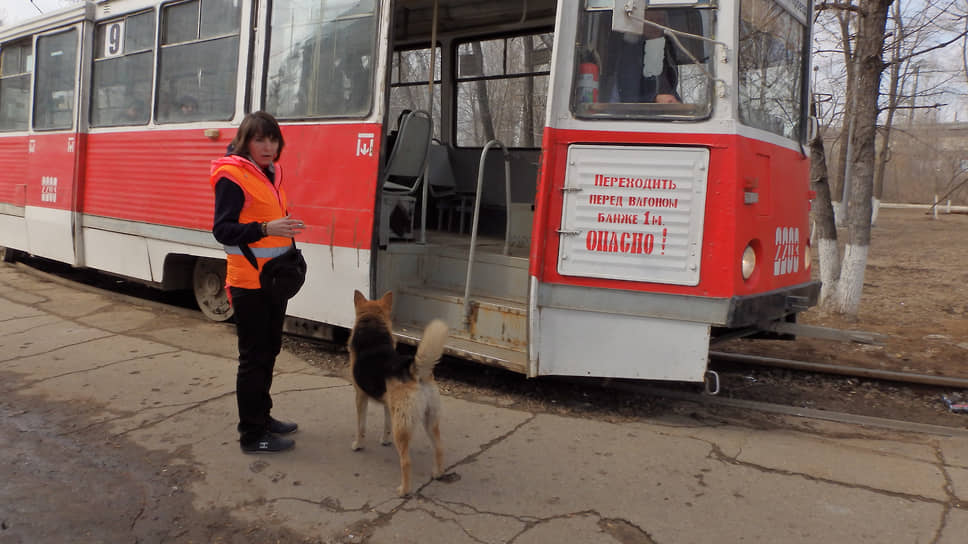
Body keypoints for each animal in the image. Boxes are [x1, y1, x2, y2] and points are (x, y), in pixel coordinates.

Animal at [350, 292, 448, 496]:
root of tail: (415, 371)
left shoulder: (360, 397)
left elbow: (361, 426)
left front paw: (358, 445)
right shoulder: (388, 406)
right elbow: (386, 425)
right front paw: (384, 441)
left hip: (402, 428)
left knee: (406, 461)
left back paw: (404, 490)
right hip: (429, 421)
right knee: (439, 448)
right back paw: (438, 473)